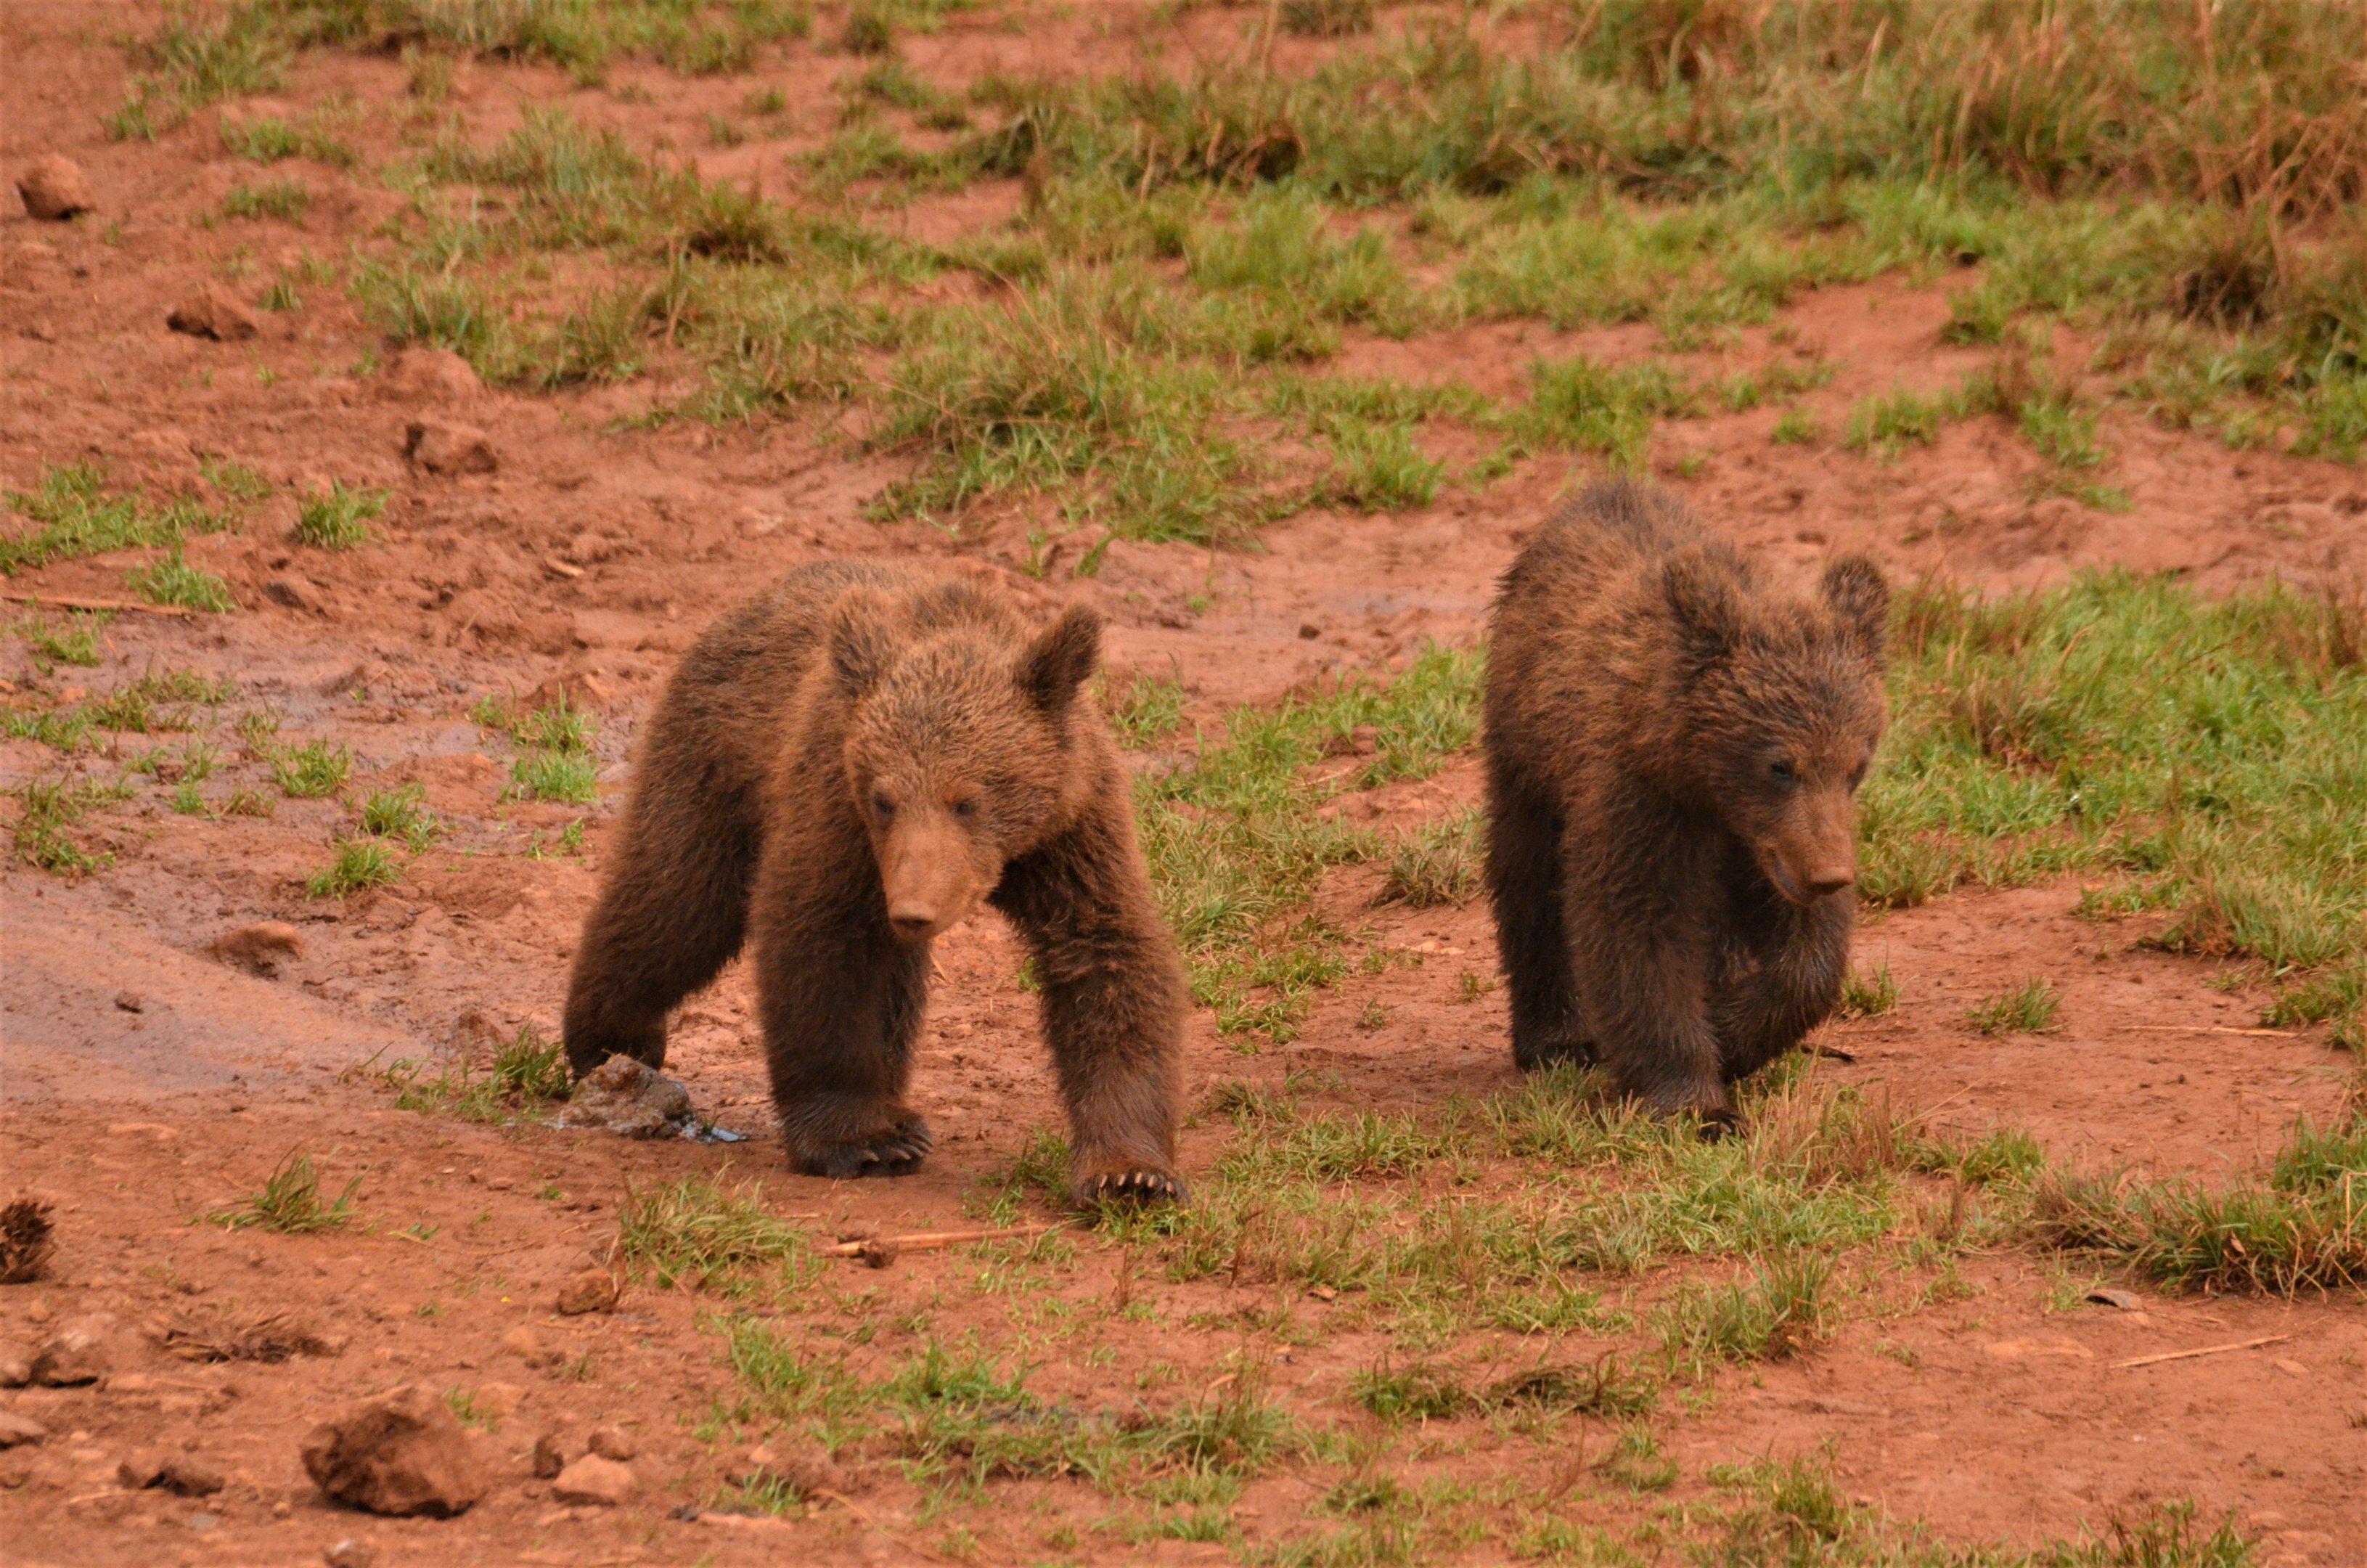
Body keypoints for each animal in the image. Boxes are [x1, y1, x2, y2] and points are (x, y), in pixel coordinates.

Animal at [561, 560, 1189, 1205]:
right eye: (885, 799)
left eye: (967, 800)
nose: (913, 910)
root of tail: (751, 600)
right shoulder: (840, 819)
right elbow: (824, 956)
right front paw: (862, 1139)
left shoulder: (1073, 834)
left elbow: (1104, 957)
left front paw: (1130, 1173)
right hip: (716, 768)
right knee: (674, 906)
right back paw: (613, 1043)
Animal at [1481, 479, 1890, 1132]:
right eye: (1780, 765)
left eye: (1856, 765)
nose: (1829, 876)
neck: (1705, 784)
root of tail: (1595, 495)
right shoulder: (1643, 806)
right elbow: (1636, 930)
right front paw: (1697, 1106)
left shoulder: (1771, 844)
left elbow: (1808, 956)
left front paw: (1730, 1028)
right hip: (1527, 753)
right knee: (1528, 876)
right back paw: (1555, 1039)